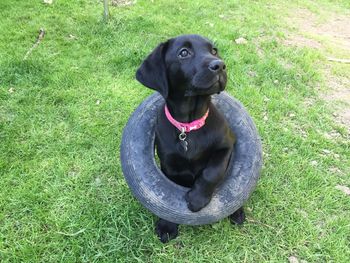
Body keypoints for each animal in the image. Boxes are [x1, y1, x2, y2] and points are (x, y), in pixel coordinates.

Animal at [135, 34, 245, 243]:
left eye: (214, 51)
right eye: (184, 53)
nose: (220, 65)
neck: (189, 127)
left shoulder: (227, 145)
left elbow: (212, 171)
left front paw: (197, 199)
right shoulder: (169, 165)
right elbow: (166, 200)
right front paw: (167, 225)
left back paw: (237, 212)